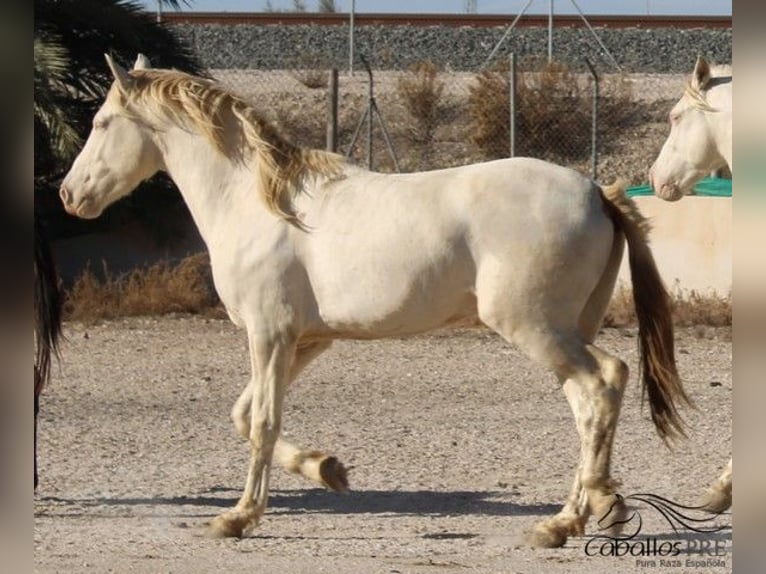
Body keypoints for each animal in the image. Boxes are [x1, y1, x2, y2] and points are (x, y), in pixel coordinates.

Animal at [61, 55, 688, 548]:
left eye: (101, 122)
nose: (71, 195)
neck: (257, 203)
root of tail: (597, 193)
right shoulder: (304, 340)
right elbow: (245, 416)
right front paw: (327, 469)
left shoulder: (268, 333)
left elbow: (262, 421)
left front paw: (238, 517)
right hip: (564, 331)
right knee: (588, 406)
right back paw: (580, 515)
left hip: (536, 328)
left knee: (604, 382)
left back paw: (580, 513)